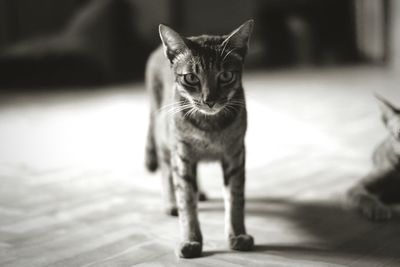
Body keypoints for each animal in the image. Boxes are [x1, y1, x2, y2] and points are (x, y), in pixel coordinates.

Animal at [145, 19, 255, 258]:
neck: (209, 129)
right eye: (191, 78)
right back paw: (170, 202)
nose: (209, 100)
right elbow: (186, 200)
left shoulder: (235, 153)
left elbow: (235, 199)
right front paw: (191, 240)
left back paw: (201, 191)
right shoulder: (182, 153)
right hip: (164, 139)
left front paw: (237, 235)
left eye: (226, 76)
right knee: (166, 171)